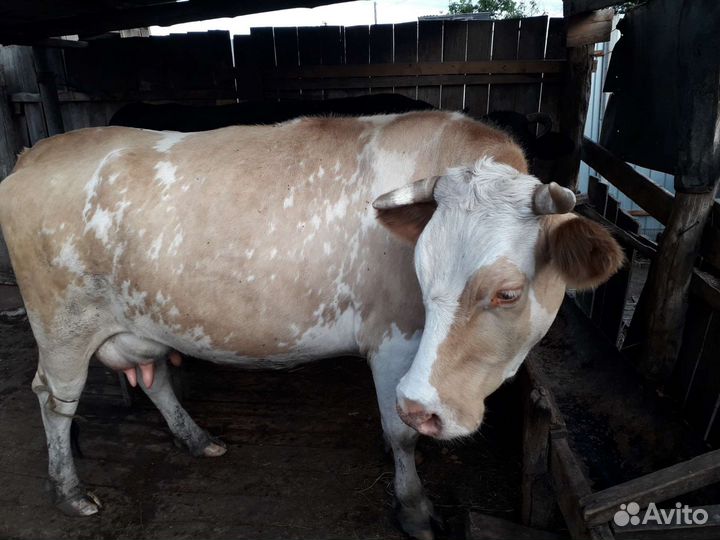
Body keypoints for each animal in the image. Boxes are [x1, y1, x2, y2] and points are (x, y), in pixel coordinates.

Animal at [0, 111, 623, 539]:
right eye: (420, 275)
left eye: (507, 293)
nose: (429, 408)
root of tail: (38, 152)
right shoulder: (394, 340)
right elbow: (399, 433)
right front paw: (415, 510)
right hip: (61, 325)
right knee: (53, 400)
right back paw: (69, 490)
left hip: (141, 320)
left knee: (155, 379)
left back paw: (197, 439)